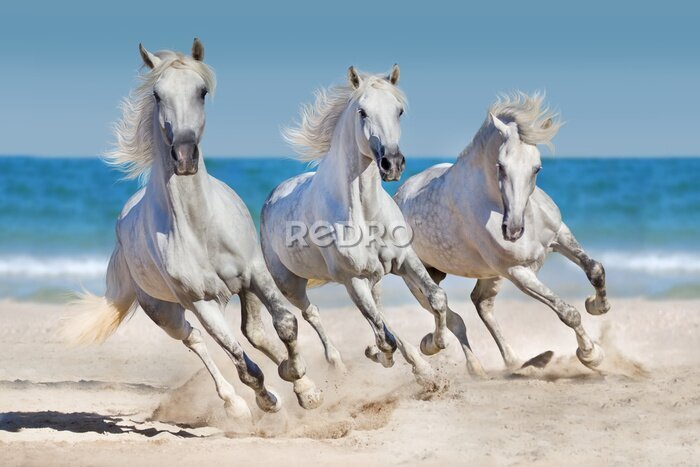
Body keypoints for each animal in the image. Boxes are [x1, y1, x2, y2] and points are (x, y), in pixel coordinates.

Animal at [62, 39, 322, 421]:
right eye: (157, 94)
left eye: (201, 91)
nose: (184, 156)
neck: (201, 227)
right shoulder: (201, 301)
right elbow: (242, 364)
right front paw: (268, 400)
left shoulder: (255, 273)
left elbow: (285, 323)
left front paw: (305, 387)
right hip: (164, 311)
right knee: (194, 339)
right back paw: (235, 404)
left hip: (240, 289)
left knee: (254, 333)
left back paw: (294, 378)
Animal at [260, 66, 487, 384]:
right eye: (362, 111)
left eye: (399, 110)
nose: (392, 163)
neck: (365, 214)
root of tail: (272, 196)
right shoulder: (352, 279)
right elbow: (384, 338)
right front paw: (389, 354)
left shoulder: (405, 260)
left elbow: (436, 299)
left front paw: (432, 344)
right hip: (290, 284)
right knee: (312, 313)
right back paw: (335, 365)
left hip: (374, 279)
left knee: (380, 314)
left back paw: (418, 365)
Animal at [393, 92, 610, 373]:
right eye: (500, 165)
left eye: (537, 168)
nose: (513, 230)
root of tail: (398, 196)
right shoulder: (517, 271)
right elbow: (567, 312)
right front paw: (591, 354)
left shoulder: (559, 236)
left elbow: (595, 269)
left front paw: (597, 305)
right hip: (418, 278)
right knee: (451, 316)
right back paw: (456, 358)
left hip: (483, 274)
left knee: (481, 304)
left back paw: (517, 362)